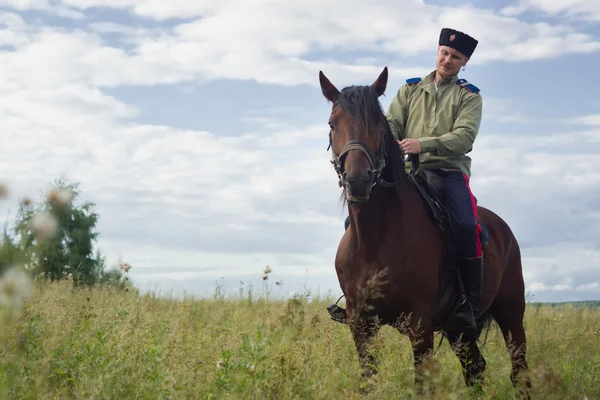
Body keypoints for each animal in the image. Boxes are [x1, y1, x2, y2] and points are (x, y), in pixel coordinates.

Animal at [318, 66, 528, 396]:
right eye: (332, 123)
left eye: (378, 125)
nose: (358, 180)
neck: (376, 240)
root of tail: (503, 228)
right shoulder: (360, 324)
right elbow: (368, 381)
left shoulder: (420, 324)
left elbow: (421, 384)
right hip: (458, 330)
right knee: (475, 368)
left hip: (511, 313)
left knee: (519, 371)